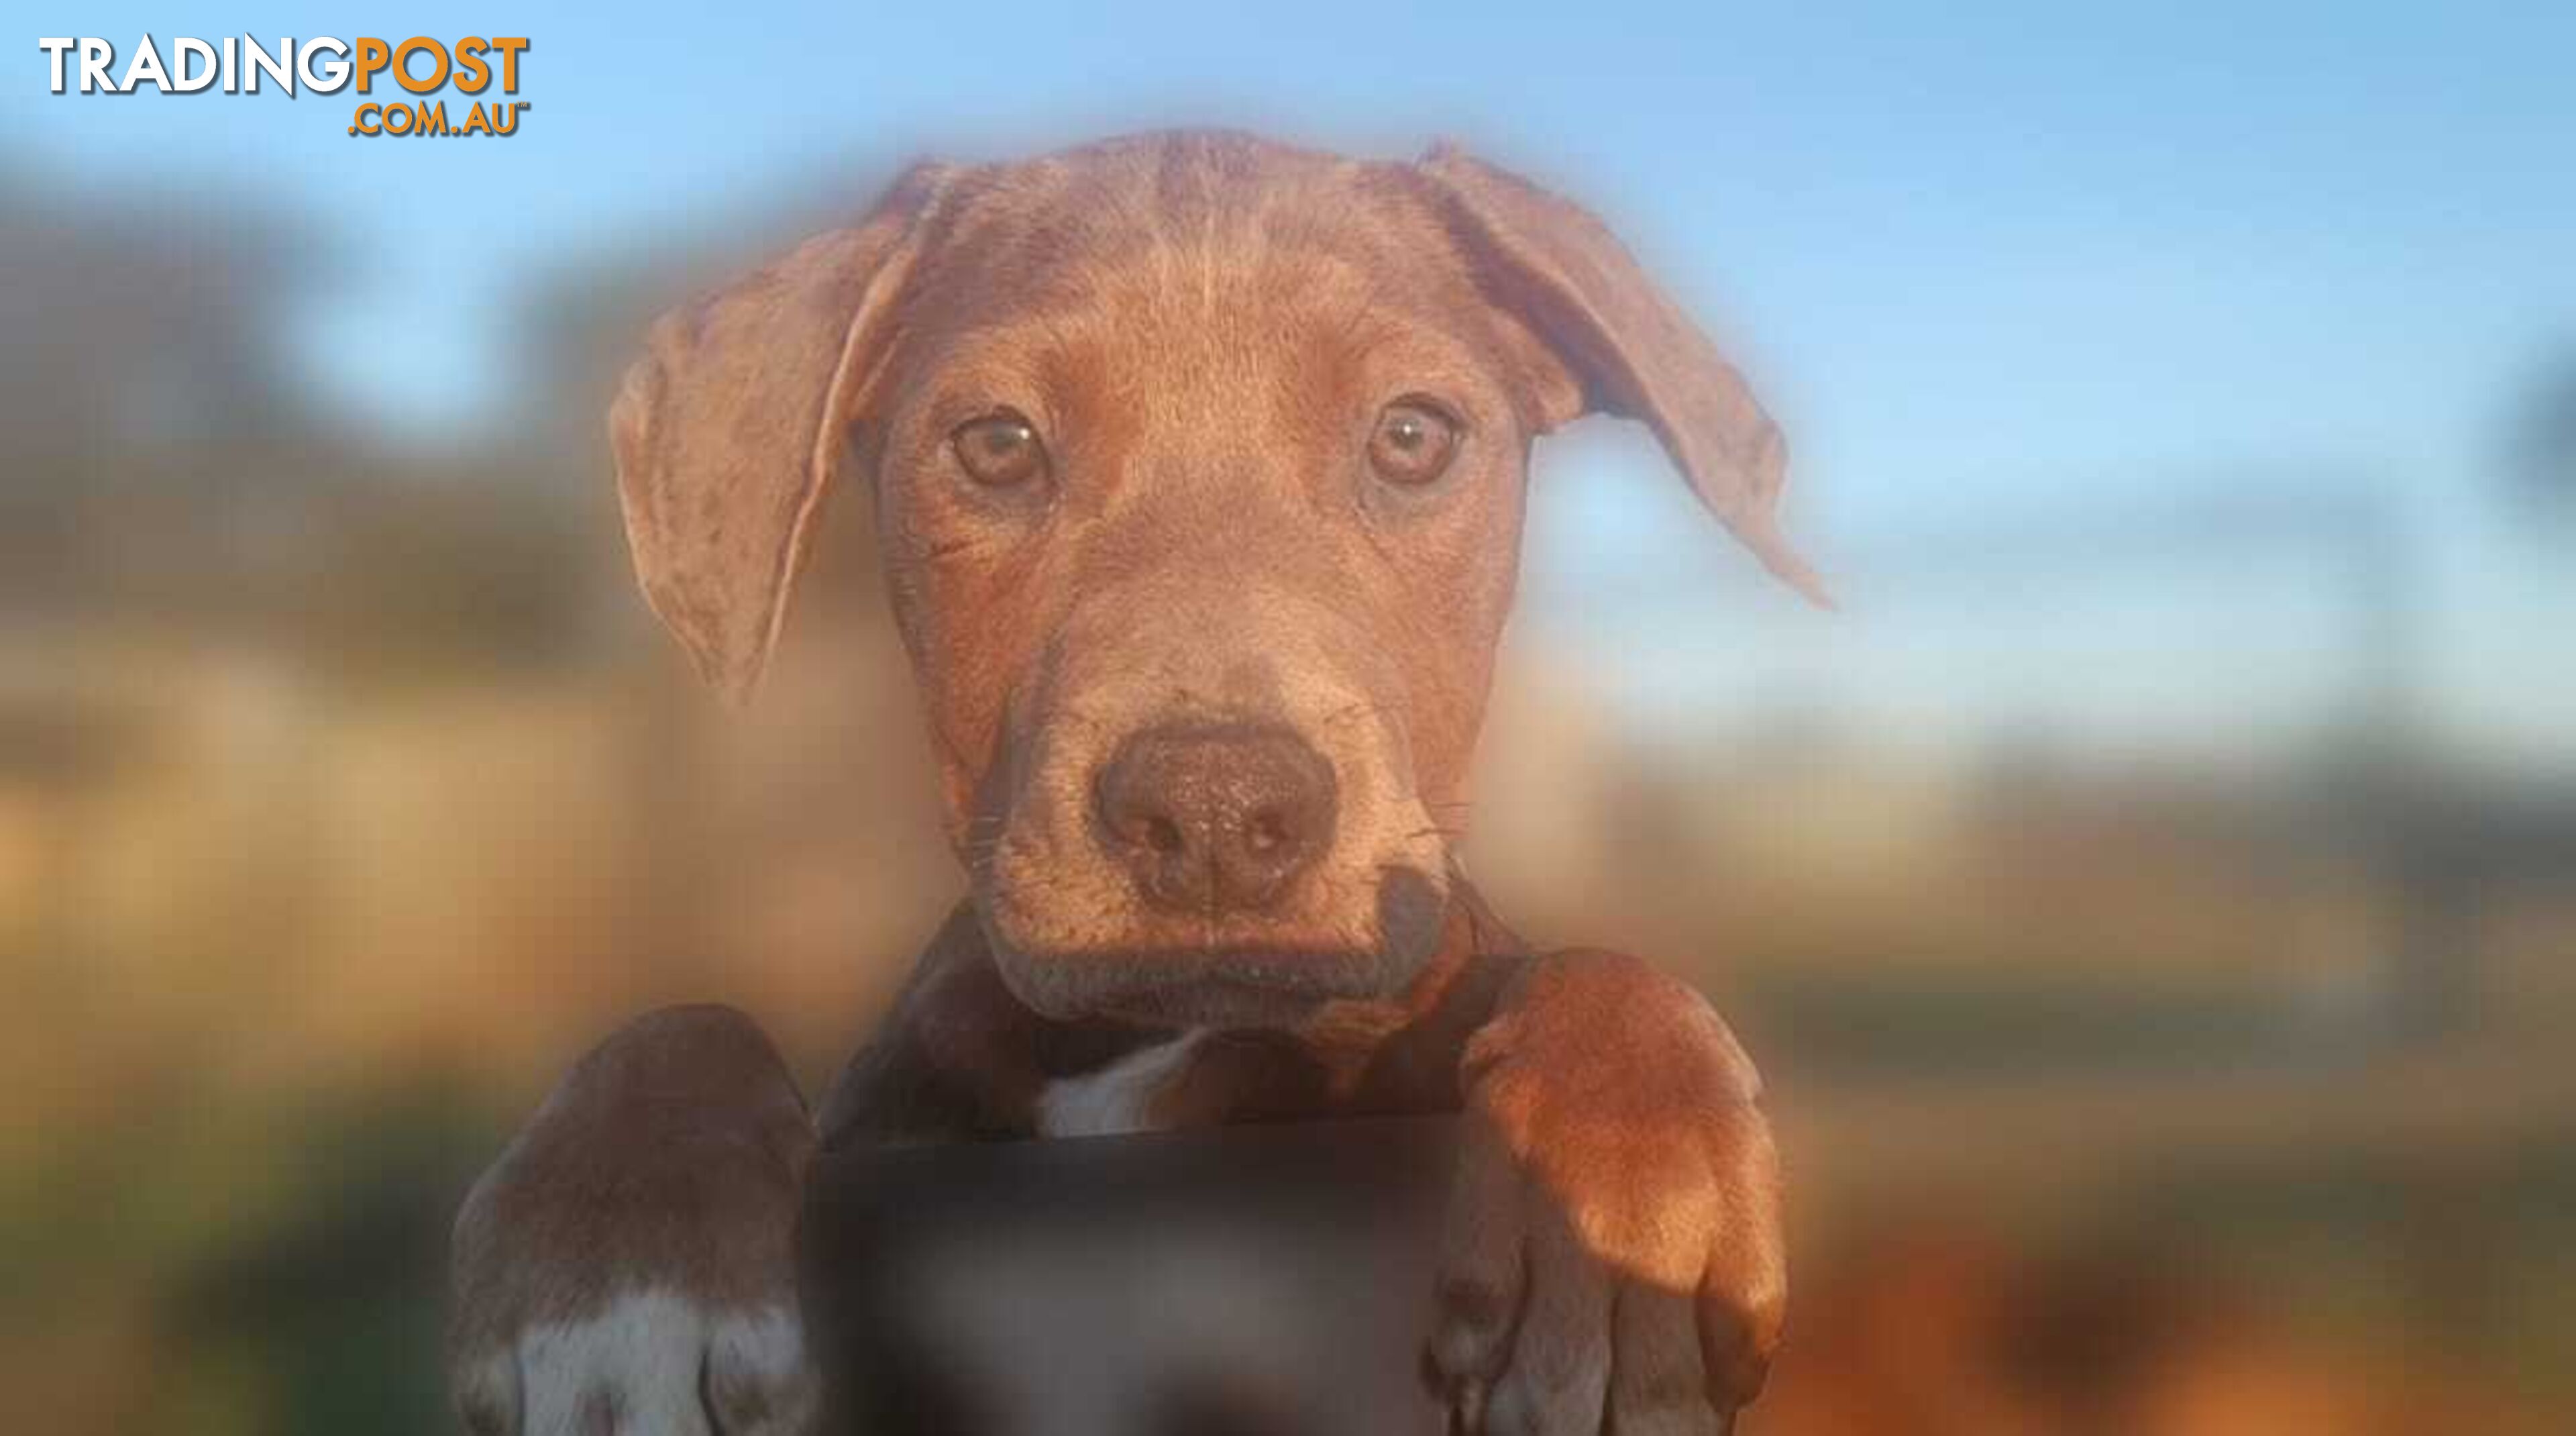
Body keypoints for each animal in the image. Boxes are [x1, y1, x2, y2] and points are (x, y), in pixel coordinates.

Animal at [448, 129, 1813, 1423]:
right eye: (997, 444)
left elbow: (1603, 971)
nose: (1214, 809)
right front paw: (614, 1271)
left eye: (1414, 436)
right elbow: (682, 1022)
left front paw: (1635, 1212)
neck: (1150, 1044)